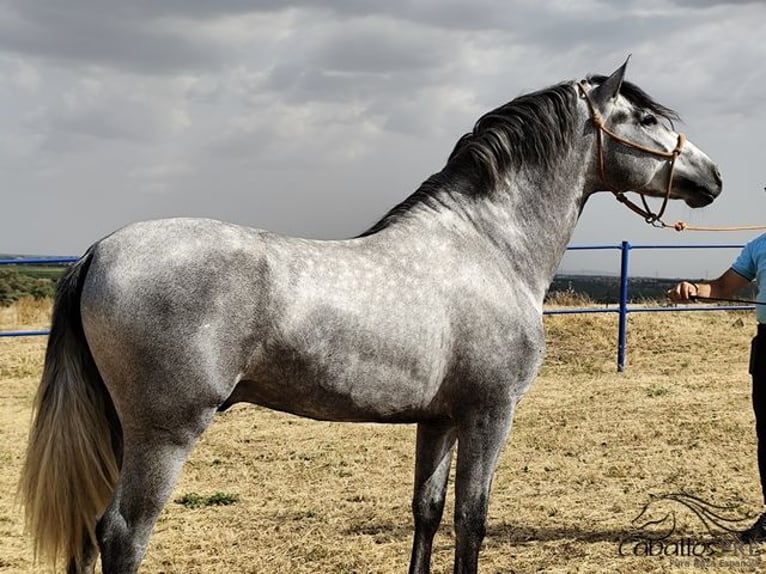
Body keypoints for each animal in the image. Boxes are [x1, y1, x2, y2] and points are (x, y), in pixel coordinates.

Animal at [19, 60, 728, 572]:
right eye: (644, 116)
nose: (714, 176)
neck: (487, 245)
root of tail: (100, 251)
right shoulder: (490, 413)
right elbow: (472, 521)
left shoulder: (439, 419)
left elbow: (428, 512)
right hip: (164, 434)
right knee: (121, 534)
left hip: (120, 429)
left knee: (89, 531)